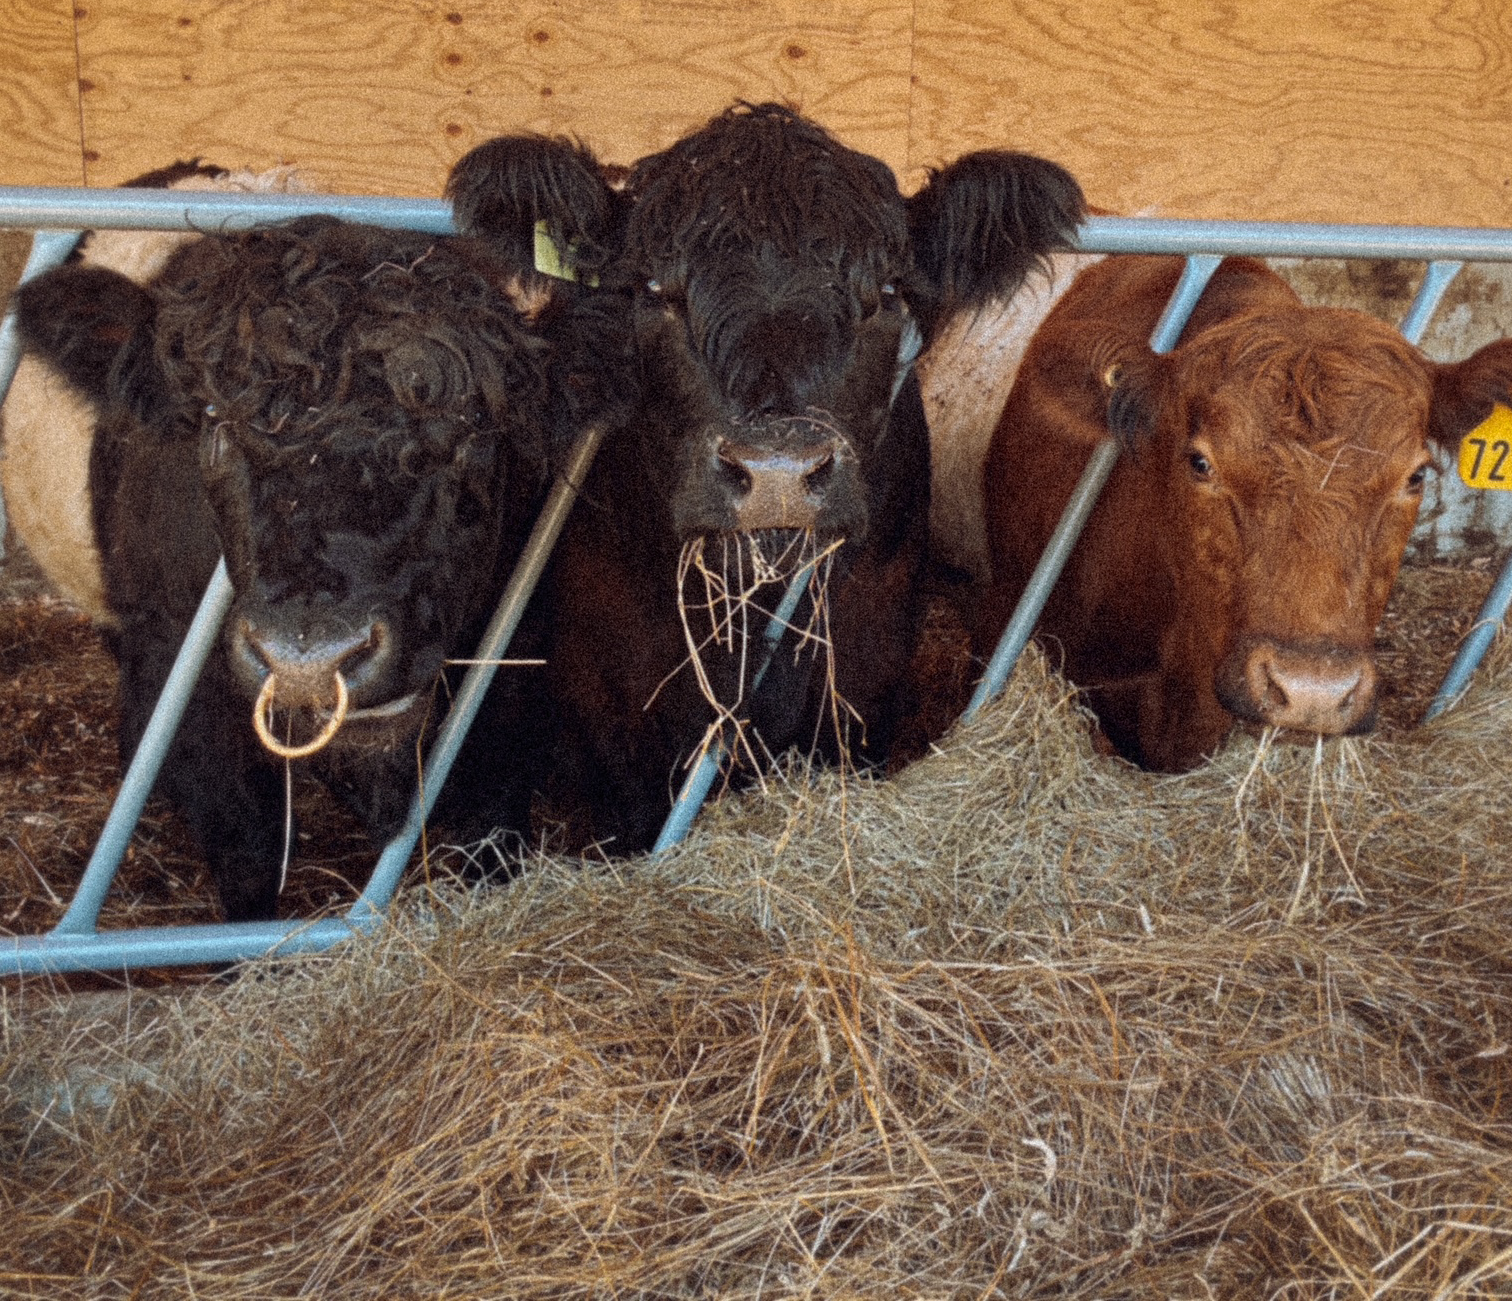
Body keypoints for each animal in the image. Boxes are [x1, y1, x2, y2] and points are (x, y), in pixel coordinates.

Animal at [7, 149, 630, 920]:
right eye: (214, 421)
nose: (310, 660)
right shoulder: (179, 671)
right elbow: (247, 853)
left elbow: (491, 834)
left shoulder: (511, 664)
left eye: (474, 427)